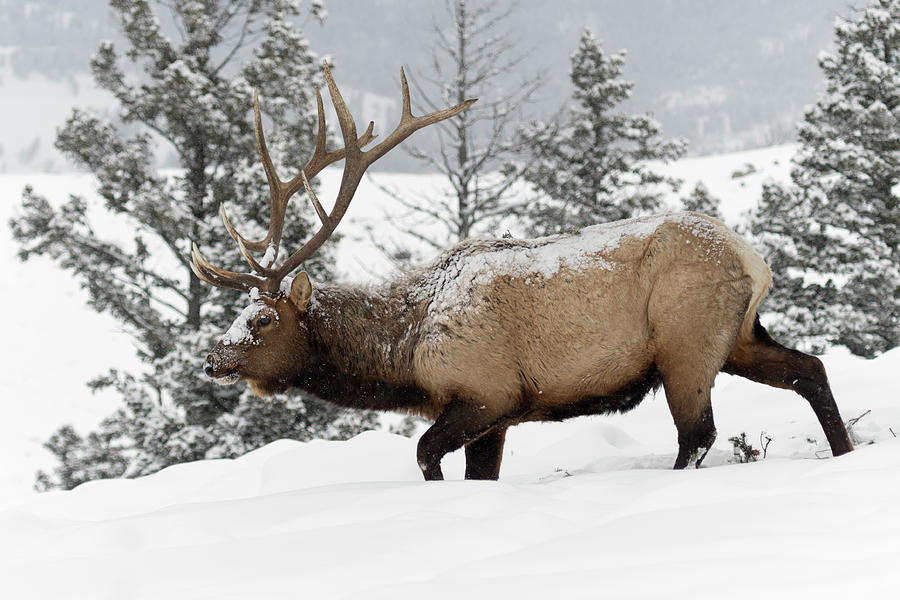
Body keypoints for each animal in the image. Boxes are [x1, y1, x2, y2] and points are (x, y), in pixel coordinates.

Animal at [193, 62, 856, 478]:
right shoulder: (495, 419)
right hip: (737, 335)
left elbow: (424, 455)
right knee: (811, 370)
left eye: (260, 320)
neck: (405, 359)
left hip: (685, 341)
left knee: (698, 434)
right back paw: (847, 454)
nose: (211, 359)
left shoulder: (486, 392)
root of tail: (754, 259)